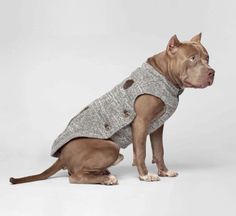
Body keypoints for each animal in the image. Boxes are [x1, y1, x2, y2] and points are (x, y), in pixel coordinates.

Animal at [10, 33, 215, 186]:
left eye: (207, 58)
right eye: (192, 58)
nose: (212, 72)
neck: (163, 74)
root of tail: (62, 155)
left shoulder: (157, 126)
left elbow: (159, 150)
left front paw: (164, 172)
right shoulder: (141, 122)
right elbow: (141, 151)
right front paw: (145, 175)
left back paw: (103, 174)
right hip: (110, 148)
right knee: (74, 176)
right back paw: (106, 179)